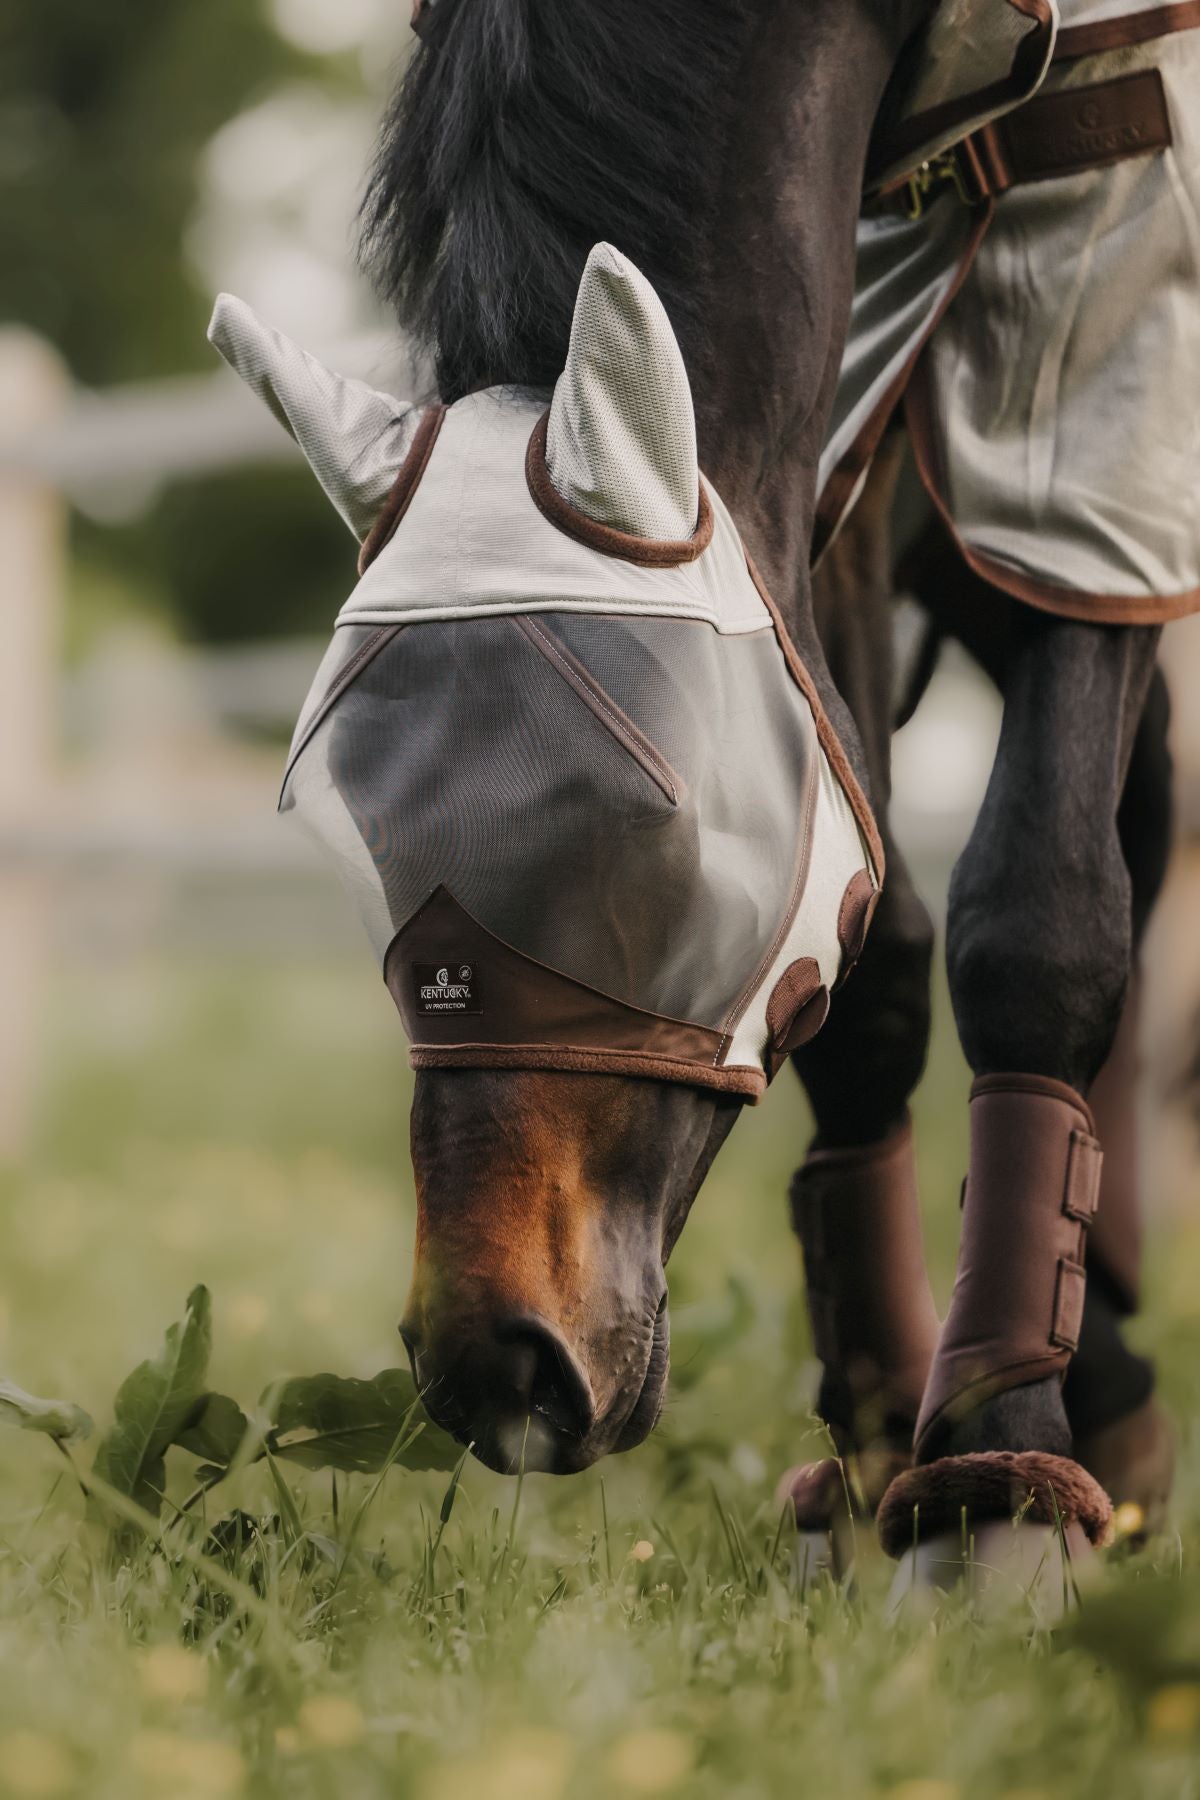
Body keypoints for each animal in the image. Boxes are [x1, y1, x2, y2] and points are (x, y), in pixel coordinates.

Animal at [218, 0, 1200, 1584]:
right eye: (358, 840)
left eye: (658, 829)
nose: (496, 1364)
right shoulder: (849, 384)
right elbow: (875, 952)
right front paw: (884, 1448)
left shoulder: (1107, 272)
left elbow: (1036, 914)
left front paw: (998, 1480)